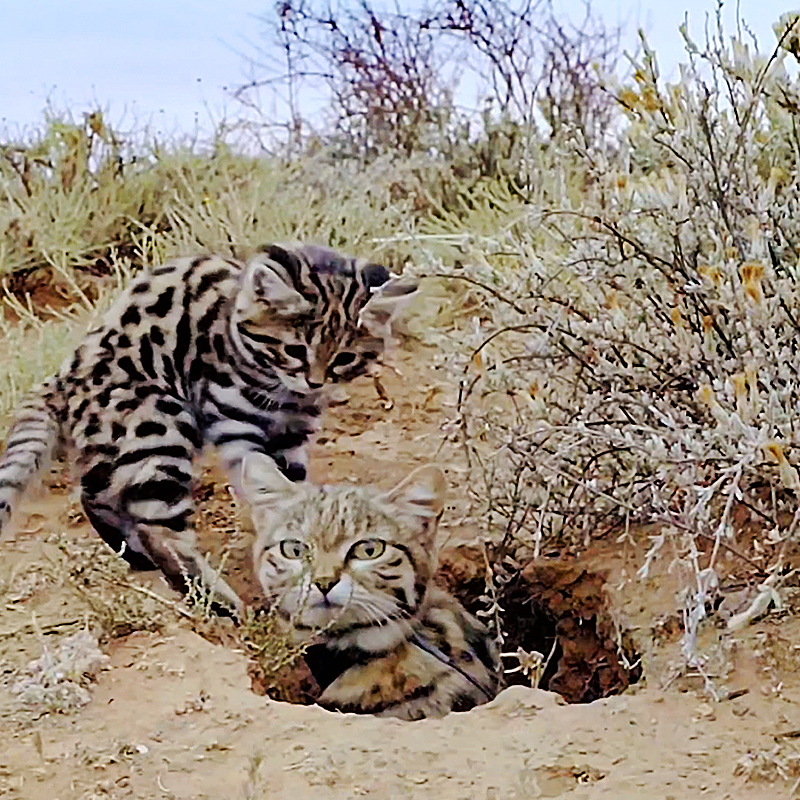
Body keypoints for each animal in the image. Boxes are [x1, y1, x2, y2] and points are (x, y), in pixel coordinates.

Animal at [0, 244, 416, 612]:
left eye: (344, 358)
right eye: (296, 351)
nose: (314, 383)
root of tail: (60, 379)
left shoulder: (292, 435)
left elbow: (291, 486)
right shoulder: (236, 426)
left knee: (97, 494)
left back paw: (134, 554)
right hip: (159, 423)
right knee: (159, 528)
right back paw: (218, 600)